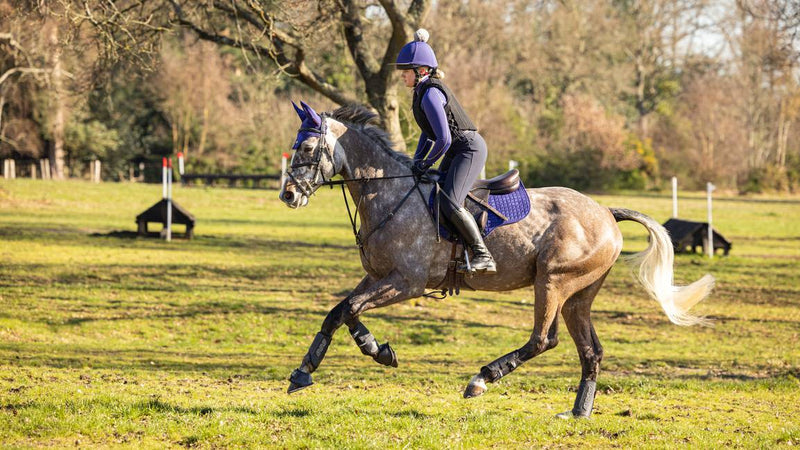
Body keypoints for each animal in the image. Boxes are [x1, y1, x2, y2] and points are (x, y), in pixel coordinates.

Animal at [280, 102, 712, 418]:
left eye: (307, 149)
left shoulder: (406, 281)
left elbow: (350, 308)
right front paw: (314, 368)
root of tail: (606, 211)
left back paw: (482, 378)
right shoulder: (378, 276)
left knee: (543, 339)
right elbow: (340, 312)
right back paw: (578, 412)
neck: (388, 194)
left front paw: (367, 352)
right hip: (579, 295)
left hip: (553, 282)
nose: (288, 195)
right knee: (591, 350)